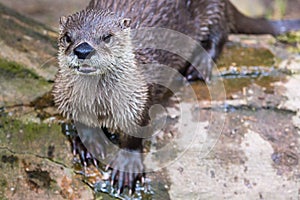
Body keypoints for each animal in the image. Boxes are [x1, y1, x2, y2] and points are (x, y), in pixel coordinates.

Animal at [53, 0, 300, 194]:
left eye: (107, 37)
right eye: (68, 37)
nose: (83, 50)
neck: (100, 102)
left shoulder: (141, 99)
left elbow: (135, 135)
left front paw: (126, 166)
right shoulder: (66, 96)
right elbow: (81, 122)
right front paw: (87, 145)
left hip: (211, 9)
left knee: (221, 32)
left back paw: (198, 65)